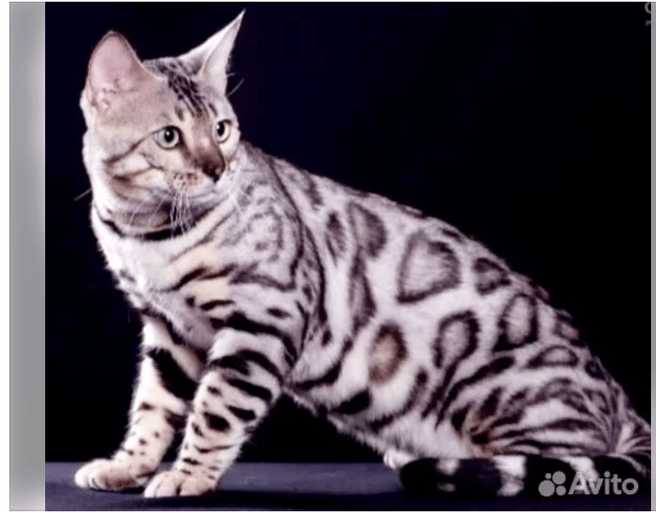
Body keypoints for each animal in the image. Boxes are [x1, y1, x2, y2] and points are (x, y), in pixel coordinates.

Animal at [74, 12, 650, 498]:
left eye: (222, 129)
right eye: (169, 137)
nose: (218, 169)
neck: (145, 233)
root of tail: (619, 398)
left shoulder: (263, 319)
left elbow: (215, 411)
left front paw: (188, 476)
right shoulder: (170, 332)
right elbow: (153, 408)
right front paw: (127, 465)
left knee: (558, 460)